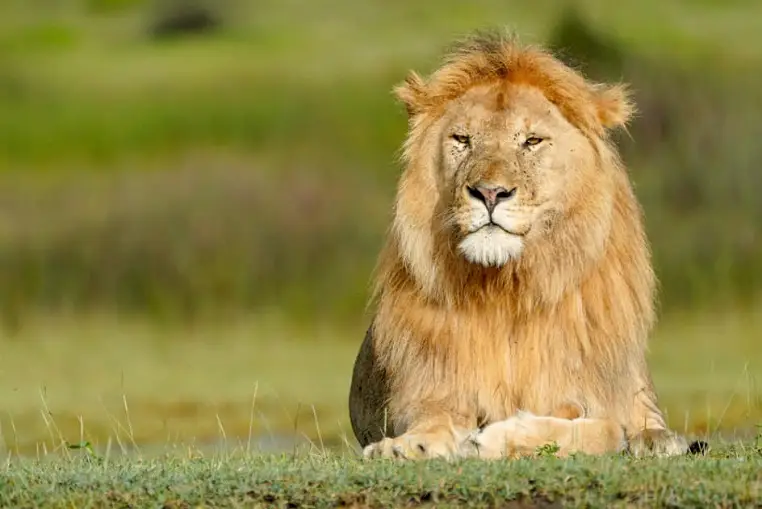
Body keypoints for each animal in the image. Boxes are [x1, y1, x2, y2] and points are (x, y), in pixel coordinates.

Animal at [348, 29, 692, 460]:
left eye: (531, 141)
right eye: (462, 139)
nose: (489, 193)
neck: (508, 287)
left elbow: (606, 429)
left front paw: (498, 436)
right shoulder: (427, 389)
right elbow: (434, 418)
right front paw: (409, 447)